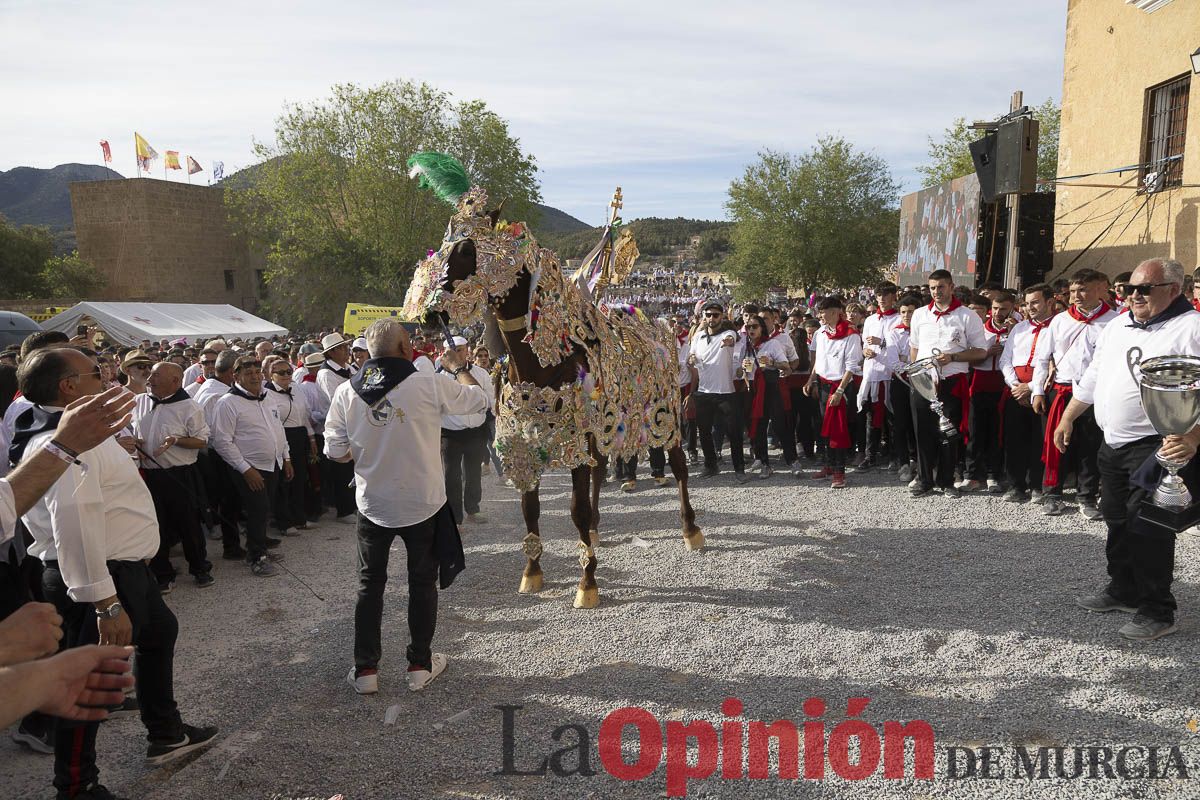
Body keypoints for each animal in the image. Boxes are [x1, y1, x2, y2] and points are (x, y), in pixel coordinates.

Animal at [403, 153, 700, 609]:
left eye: (468, 249)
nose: (426, 313)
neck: (543, 362)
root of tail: (660, 327)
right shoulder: (527, 442)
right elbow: (531, 509)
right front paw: (533, 572)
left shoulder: (576, 439)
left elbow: (574, 509)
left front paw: (587, 583)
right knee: (600, 472)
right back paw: (596, 532)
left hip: (663, 415)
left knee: (680, 466)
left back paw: (690, 530)